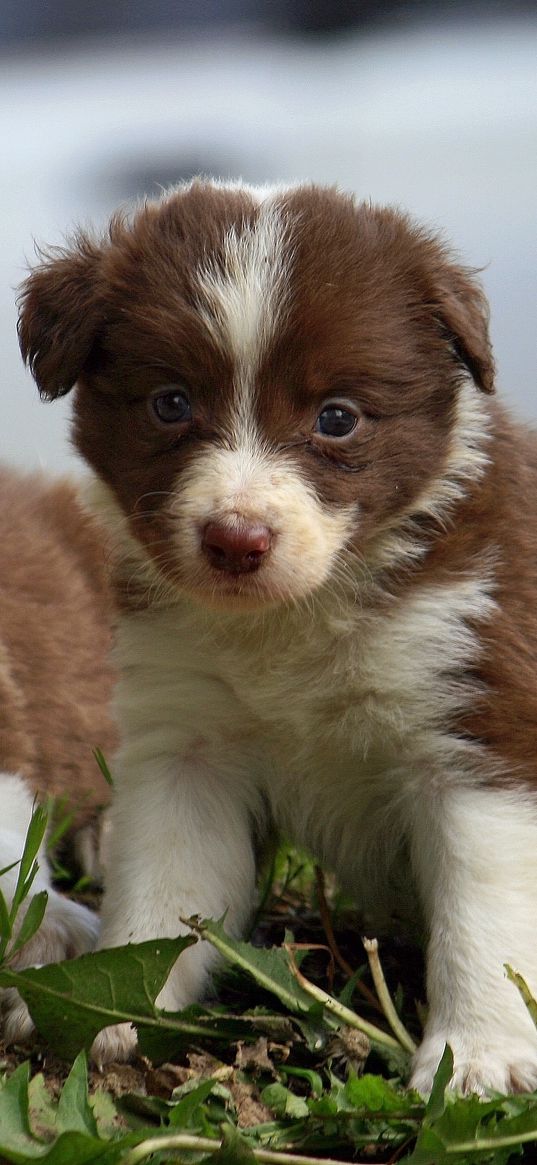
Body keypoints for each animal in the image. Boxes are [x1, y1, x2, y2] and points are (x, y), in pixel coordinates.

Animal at [17, 179, 537, 1090]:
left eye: (337, 418)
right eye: (170, 403)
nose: (235, 540)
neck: (292, 617)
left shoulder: (477, 720)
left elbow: (483, 904)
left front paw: (478, 1054)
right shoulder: (185, 736)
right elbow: (167, 882)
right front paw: (121, 1011)